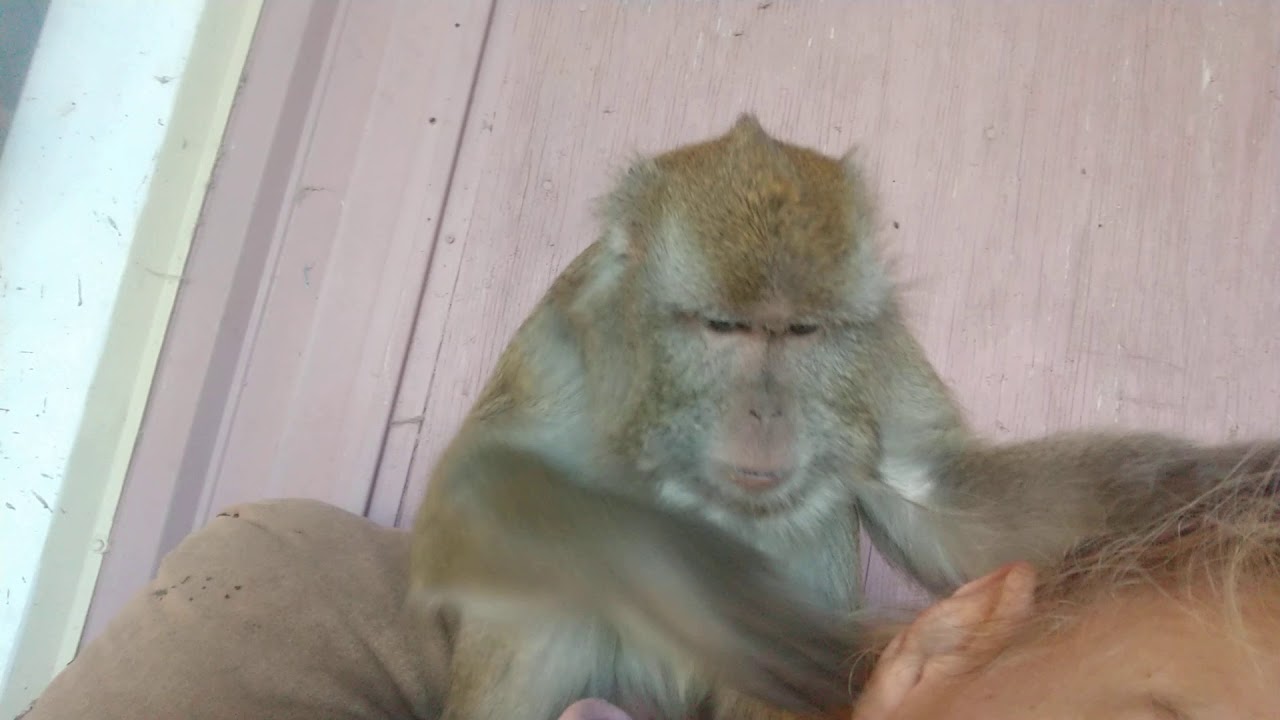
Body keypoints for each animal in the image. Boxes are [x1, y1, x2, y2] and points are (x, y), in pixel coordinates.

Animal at [408, 113, 1280, 720]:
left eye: (802, 332)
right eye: (723, 327)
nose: (766, 412)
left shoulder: (879, 354)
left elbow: (946, 499)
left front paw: (1238, 482)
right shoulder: (565, 338)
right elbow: (466, 498)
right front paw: (700, 587)